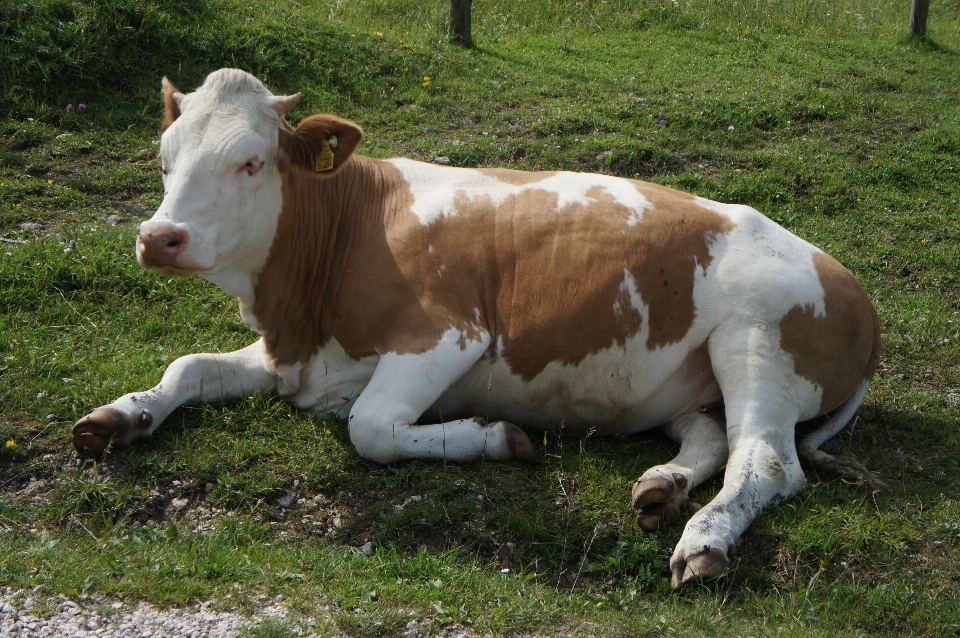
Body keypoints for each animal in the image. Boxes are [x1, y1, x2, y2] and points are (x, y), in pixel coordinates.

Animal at [73, 69, 884, 592]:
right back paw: (661, 487)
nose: (159, 237)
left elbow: (371, 427)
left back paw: (706, 539)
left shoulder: (448, 334)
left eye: (248, 162)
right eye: (164, 159)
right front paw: (119, 416)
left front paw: (497, 436)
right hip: (690, 382)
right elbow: (188, 366)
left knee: (767, 462)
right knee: (712, 437)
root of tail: (851, 284)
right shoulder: (295, 356)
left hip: (757, 339)